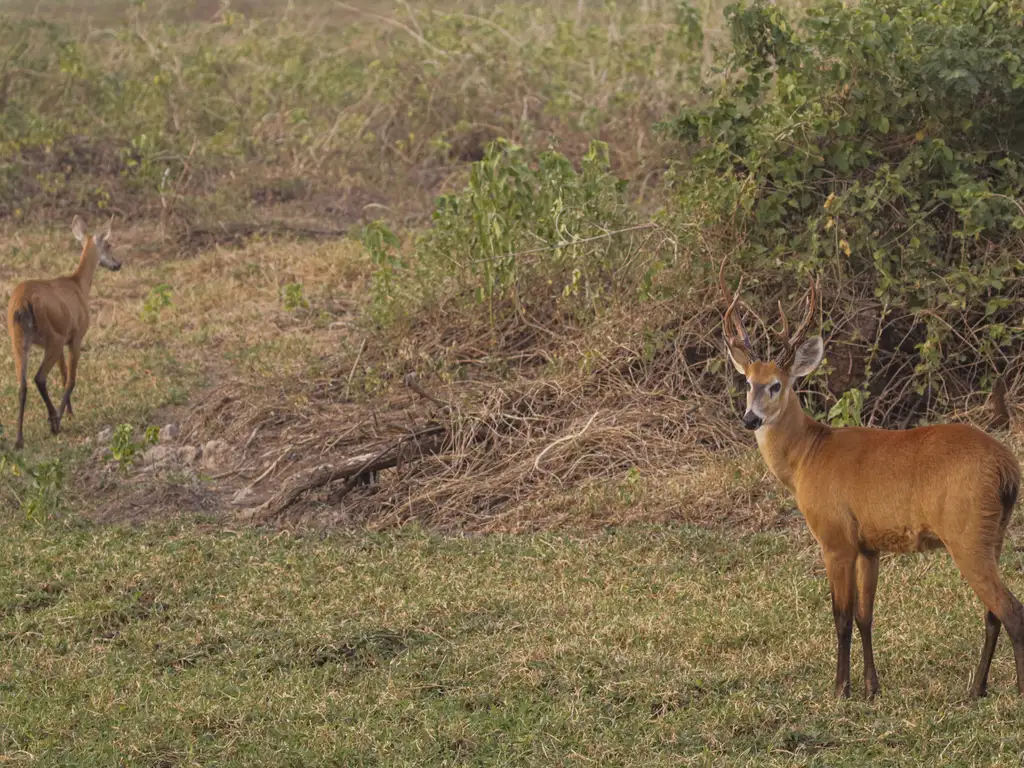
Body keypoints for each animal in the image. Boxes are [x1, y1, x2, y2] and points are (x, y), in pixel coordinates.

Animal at [720, 268, 1024, 704]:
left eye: (776, 384)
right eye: (747, 382)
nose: (750, 418)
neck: (808, 457)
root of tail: (1007, 467)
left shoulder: (835, 538)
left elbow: (842, 616)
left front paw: (839, 689)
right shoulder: (869, 545)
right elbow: (866, 615)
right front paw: (870, 687)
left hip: (966, 532)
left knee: (1011, 609)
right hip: (994, 531)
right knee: (992, 612)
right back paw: (975, 689)